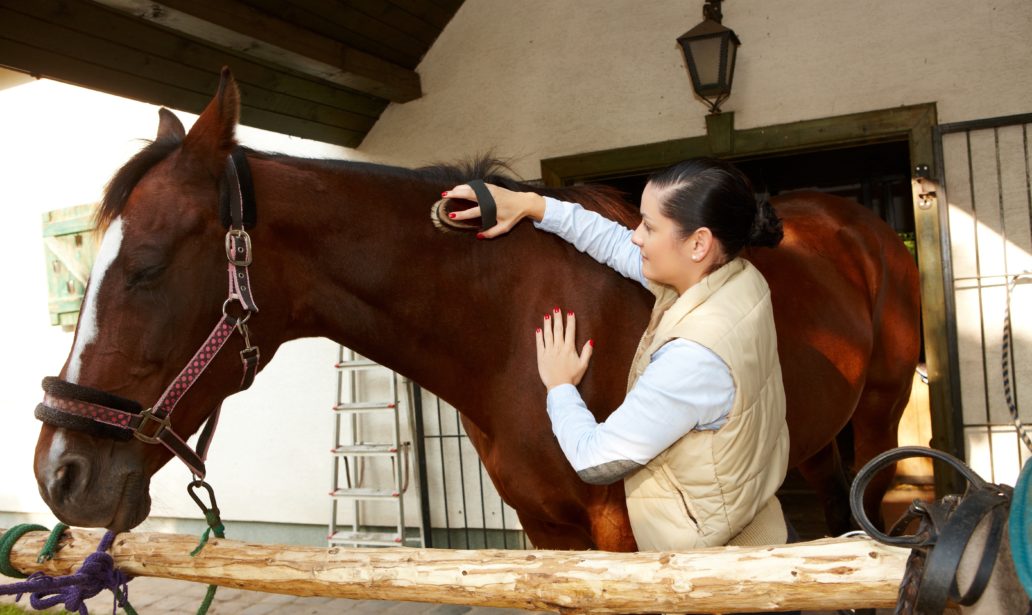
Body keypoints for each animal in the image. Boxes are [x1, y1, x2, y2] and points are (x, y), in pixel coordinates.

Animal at [32, 69, 921, 551]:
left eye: (145, 267)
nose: (59, 473)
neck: (508, 321)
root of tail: (861, 226)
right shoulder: (545, 528)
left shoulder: (620, 529)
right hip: (812, 438)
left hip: (880, 415)